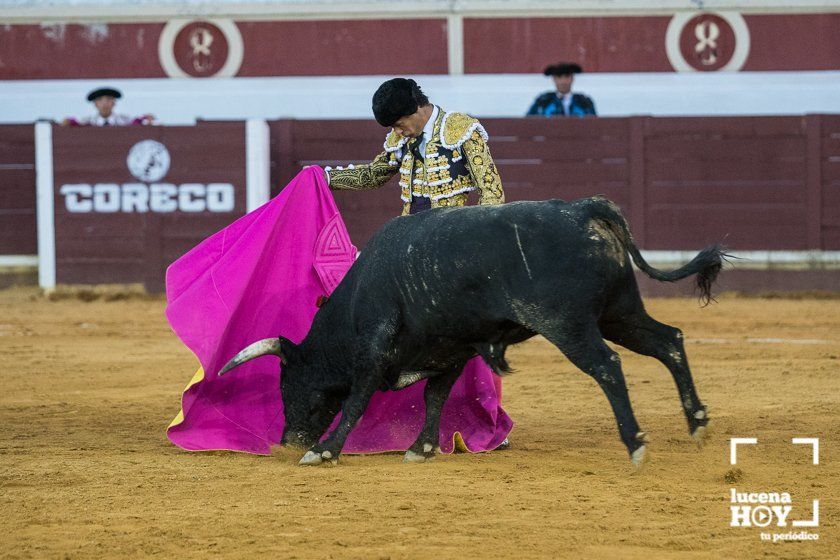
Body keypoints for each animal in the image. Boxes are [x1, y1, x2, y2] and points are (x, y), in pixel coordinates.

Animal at [220, 197, 724, 468]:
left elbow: (357, 401)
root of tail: (585, 208)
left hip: (569, 325)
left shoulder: (374, 351)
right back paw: (697, 423)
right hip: (619, 313)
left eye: (287, 382)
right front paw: (421, 448)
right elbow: (435, 397)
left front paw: (324, 452)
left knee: (608, 365)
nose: (288, 439)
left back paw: (636, 443)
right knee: (669, 341)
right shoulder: (449, 350)